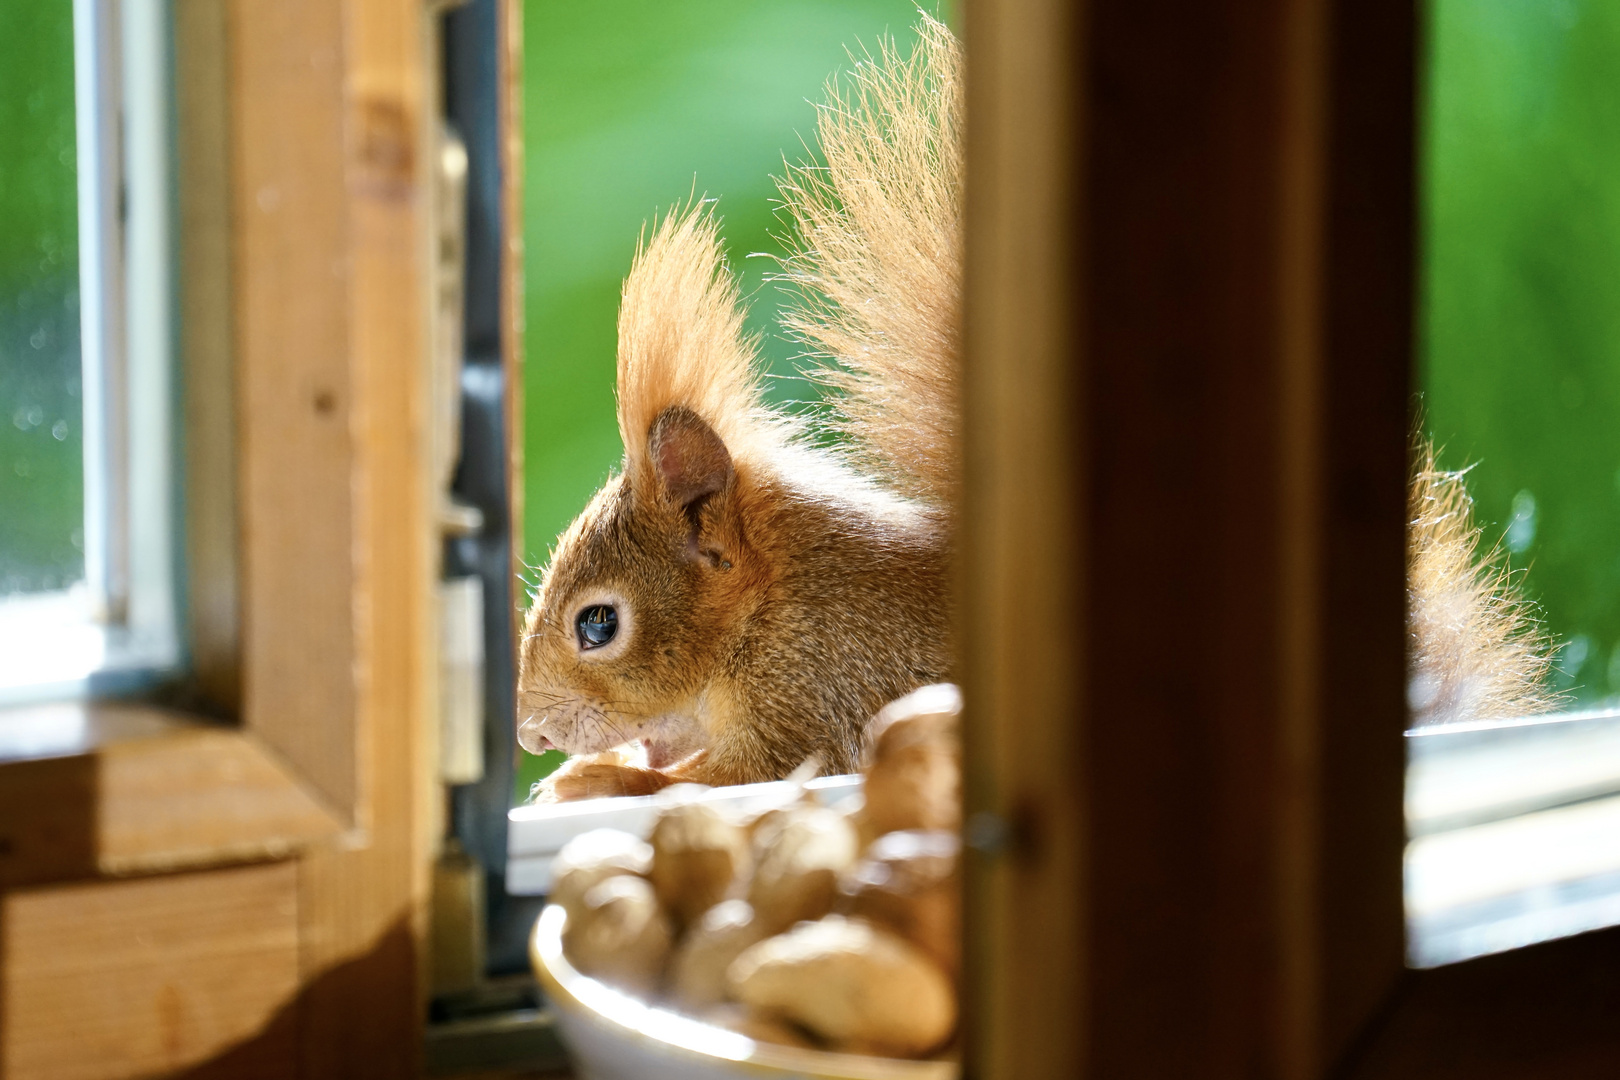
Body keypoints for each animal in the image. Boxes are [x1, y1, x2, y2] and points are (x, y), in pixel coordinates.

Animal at [515, 12, 1555, 799]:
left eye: (597, 625)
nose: (528, 737)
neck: (771, 609)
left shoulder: (816, 693)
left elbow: (734, 778)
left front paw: (595, 781)